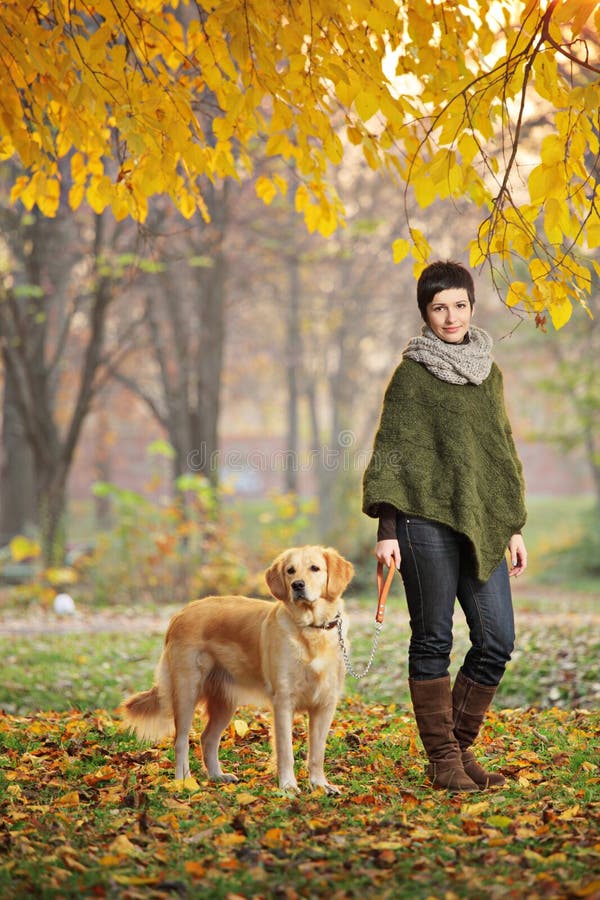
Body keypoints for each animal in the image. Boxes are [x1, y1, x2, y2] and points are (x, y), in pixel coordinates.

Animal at [123, 544, 354, 792]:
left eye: (315, 568)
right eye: (290, 571)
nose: (297, 585)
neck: (311, 630)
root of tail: (180, 613)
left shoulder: (325, 703)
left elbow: (317, 753)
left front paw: (320, 785)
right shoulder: (283, 701)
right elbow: (286, 751)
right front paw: (288, 786)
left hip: (224, 702)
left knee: (207, 738)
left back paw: (217, 775)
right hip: (186, 691)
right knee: (181, 740)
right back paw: (184, 781)